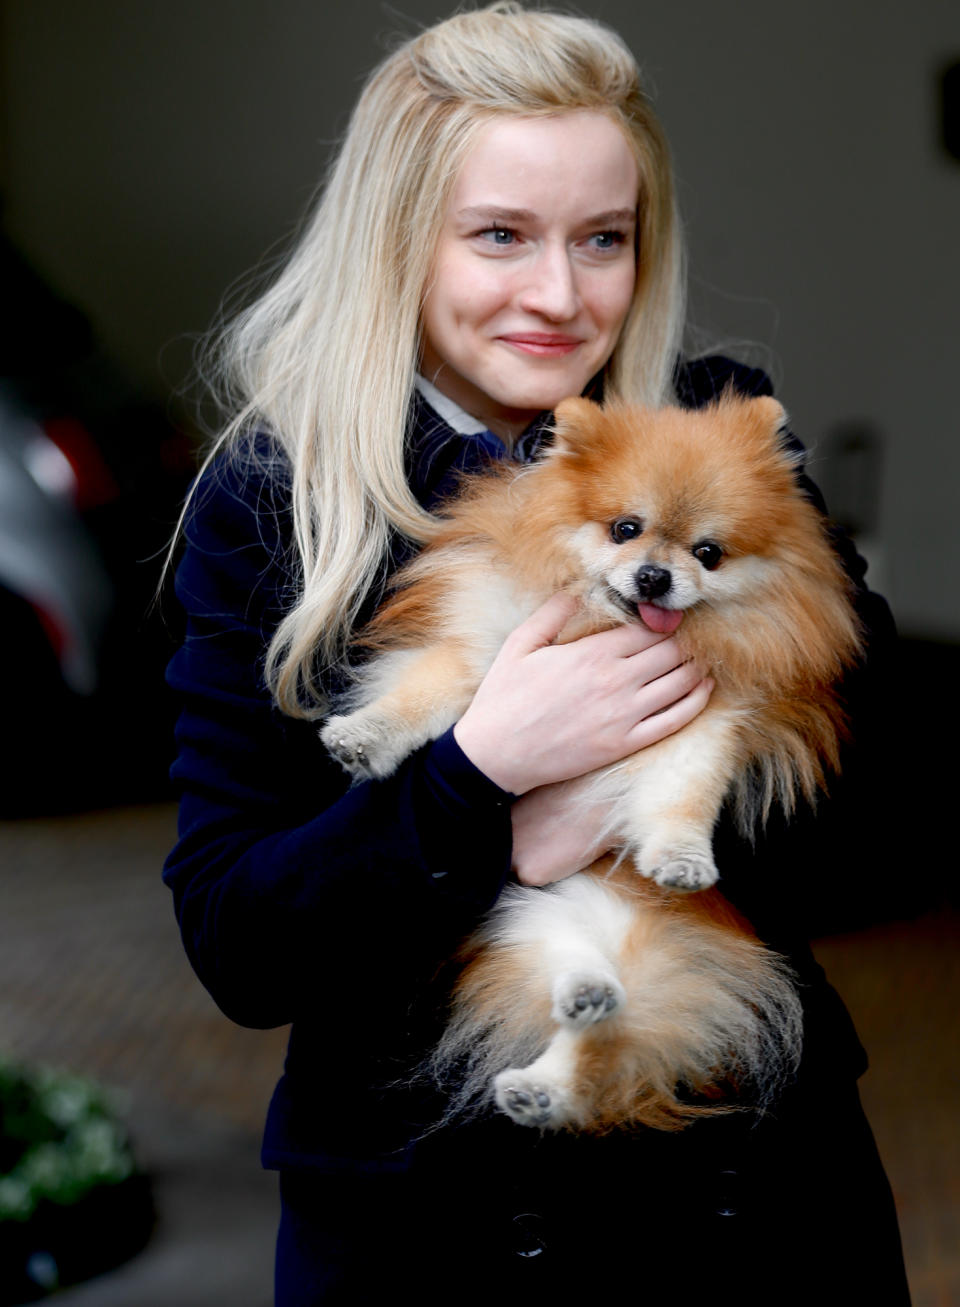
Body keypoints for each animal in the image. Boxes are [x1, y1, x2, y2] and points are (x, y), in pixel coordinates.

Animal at [322, 394, 862, 1134]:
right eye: (625, 529)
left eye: (709, 553)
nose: (656, 575)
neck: (606, 623)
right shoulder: (488, 658)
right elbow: (419, 696)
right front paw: (363, 736)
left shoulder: (710, 720)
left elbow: (686, 793)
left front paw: (681, 855)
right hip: (529, 917)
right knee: (573, 980)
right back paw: (574, 1009)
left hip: (632, 939)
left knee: (607, 1032)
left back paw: (549, 1083)